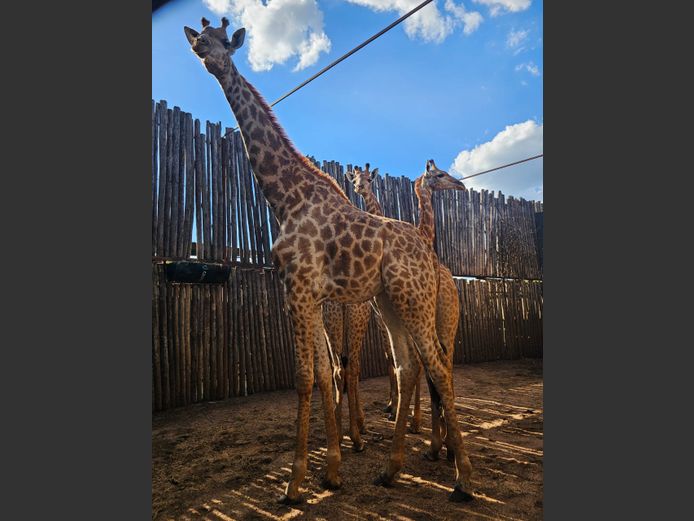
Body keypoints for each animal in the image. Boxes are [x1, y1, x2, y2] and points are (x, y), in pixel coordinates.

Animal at [349, 163, 466, 460]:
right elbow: (398, 361)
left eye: (368, 179)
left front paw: (409, 421)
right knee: (440, 366)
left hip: (441, 325)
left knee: (441, 366)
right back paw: (445, 444)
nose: (460, 185)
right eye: (440, 174)